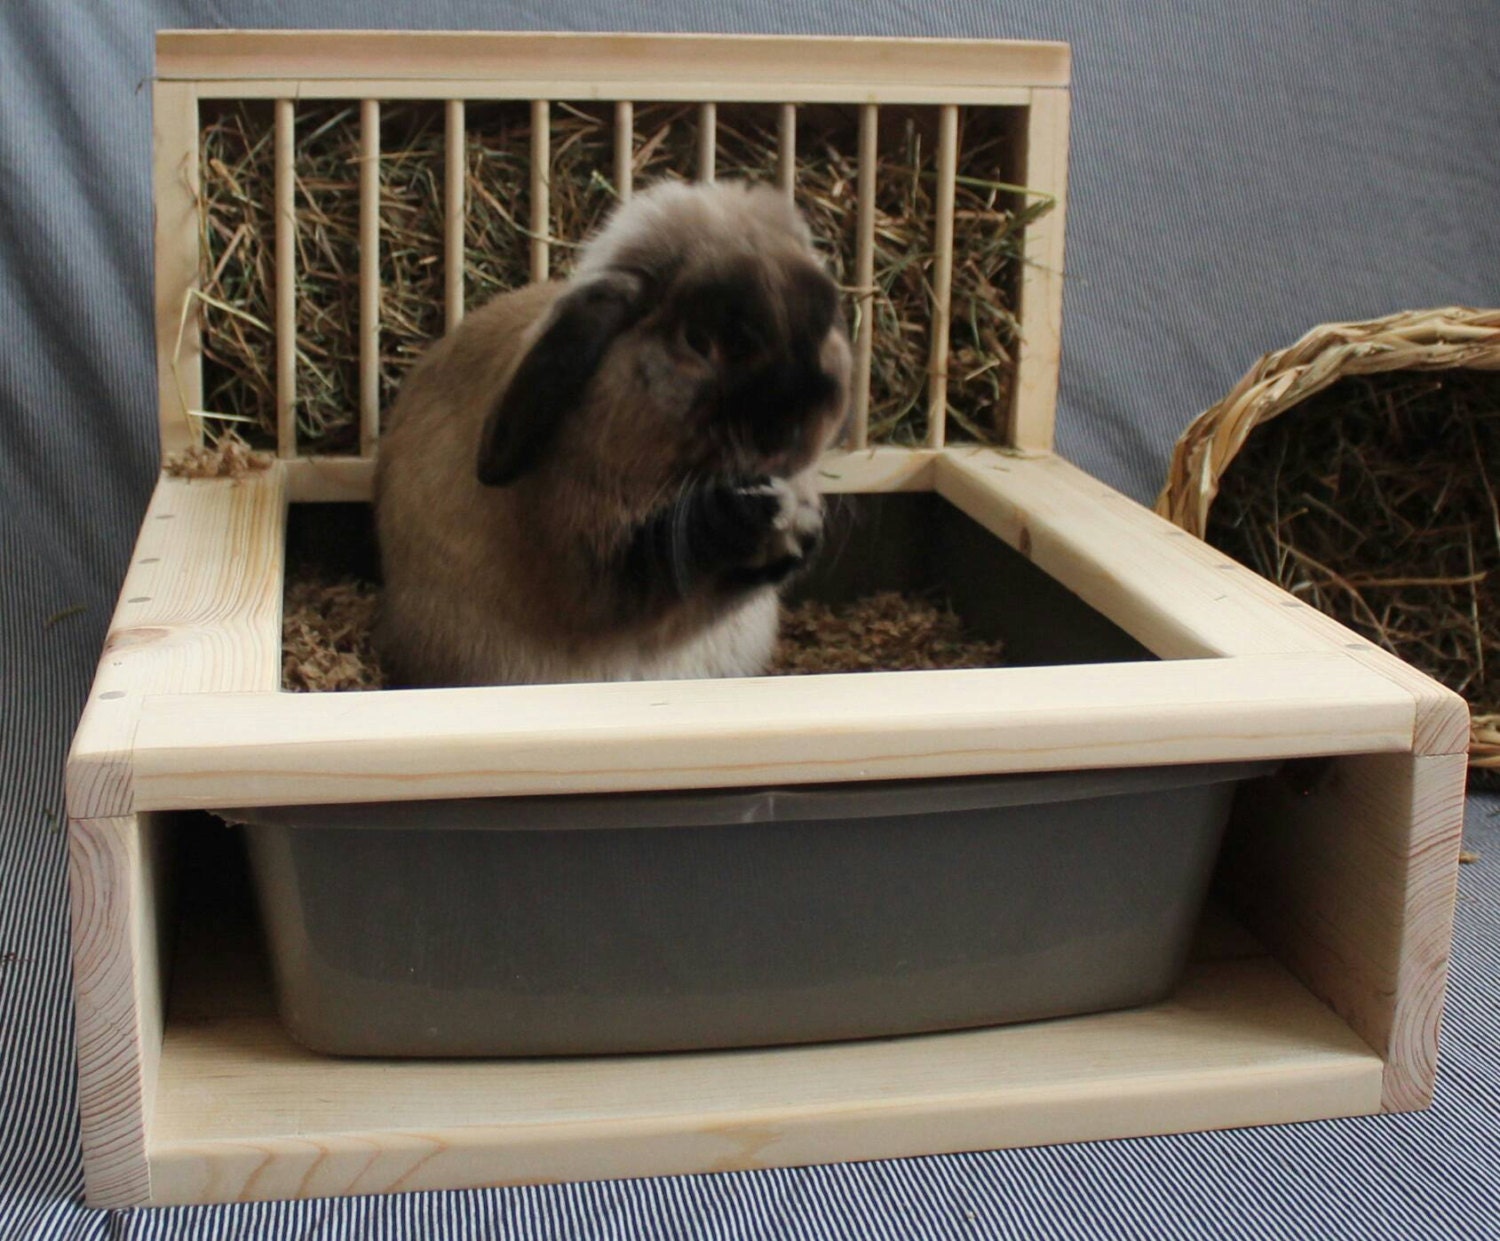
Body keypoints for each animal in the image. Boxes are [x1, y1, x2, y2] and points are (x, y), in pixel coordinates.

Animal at [373, 179, 852, 688]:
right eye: (698, 340)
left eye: (826, 319)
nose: (790, 436)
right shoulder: (595, 562)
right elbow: (667, 558)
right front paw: (755, 515)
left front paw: (802, 527)